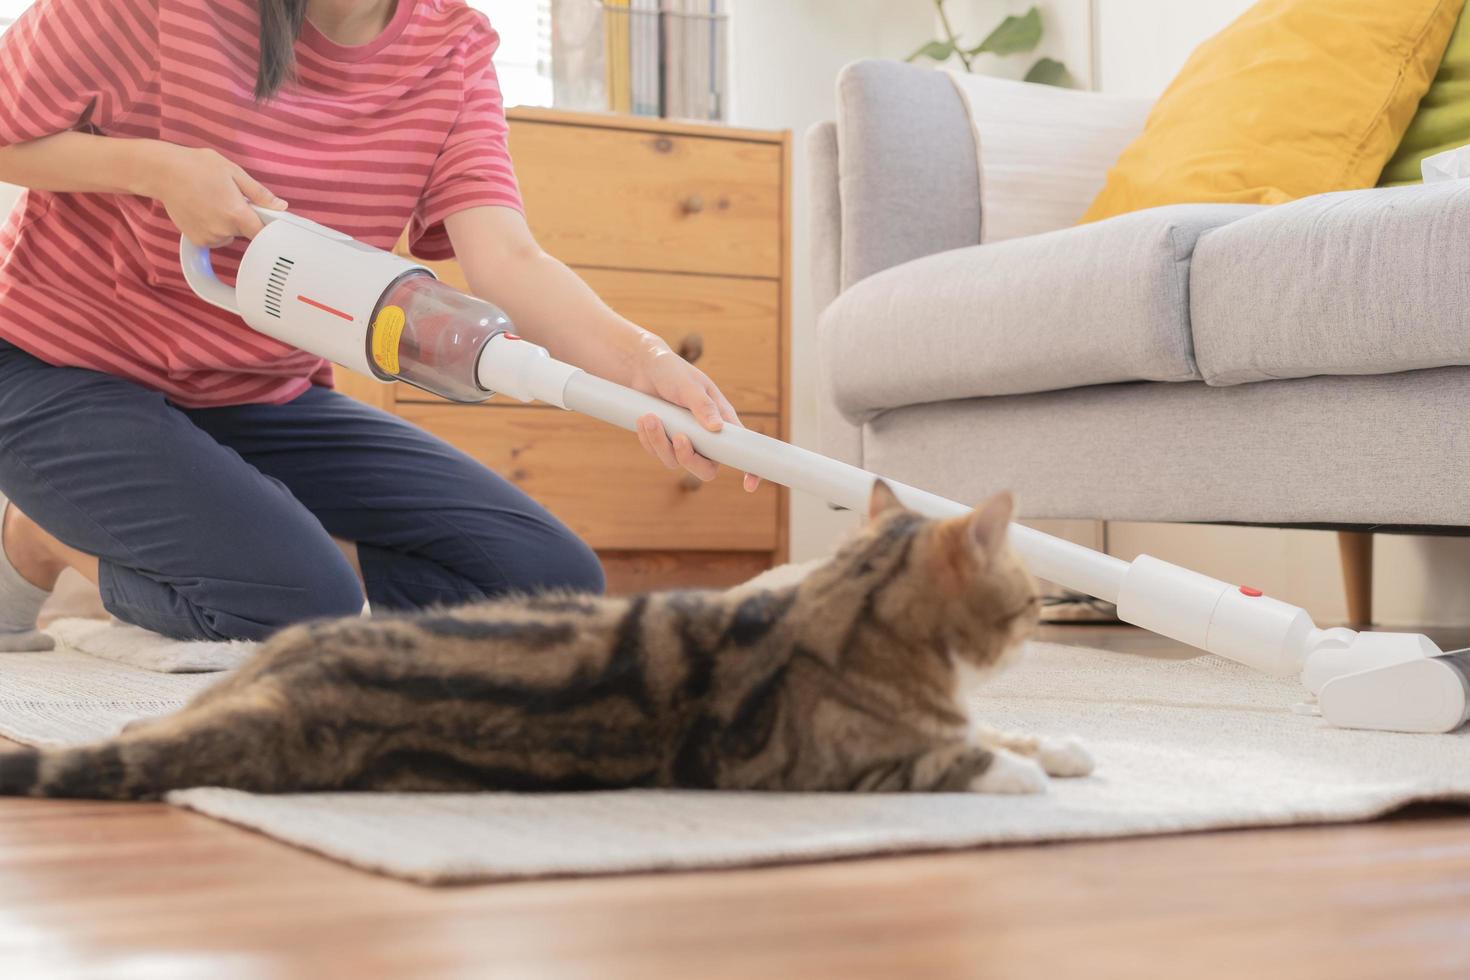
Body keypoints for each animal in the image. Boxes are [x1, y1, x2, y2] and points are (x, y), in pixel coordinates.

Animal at [0, 481, 1093, 799]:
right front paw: (1016, 769)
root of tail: (277, 695)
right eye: (1027, 605)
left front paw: (1063, 746)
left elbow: (1000, 730)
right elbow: (957, 756)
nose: (1046, 613)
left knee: (146, 718)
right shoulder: (829, 765)